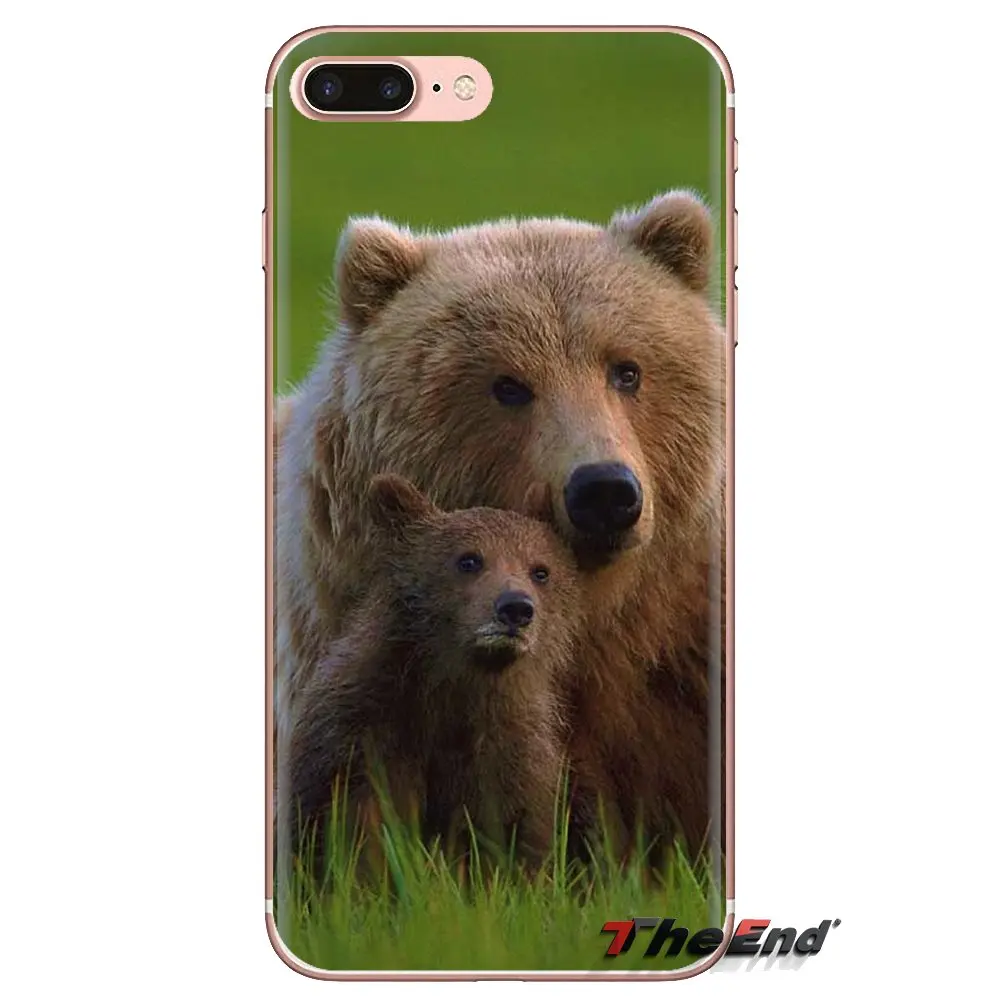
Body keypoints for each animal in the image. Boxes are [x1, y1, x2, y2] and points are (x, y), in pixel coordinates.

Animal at [280, 474, 581, 870]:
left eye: (541, 570)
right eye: (469, 559)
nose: (516, 608)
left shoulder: (508, 758)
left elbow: (511, 841)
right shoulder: (361, 741)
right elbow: (358, 834)